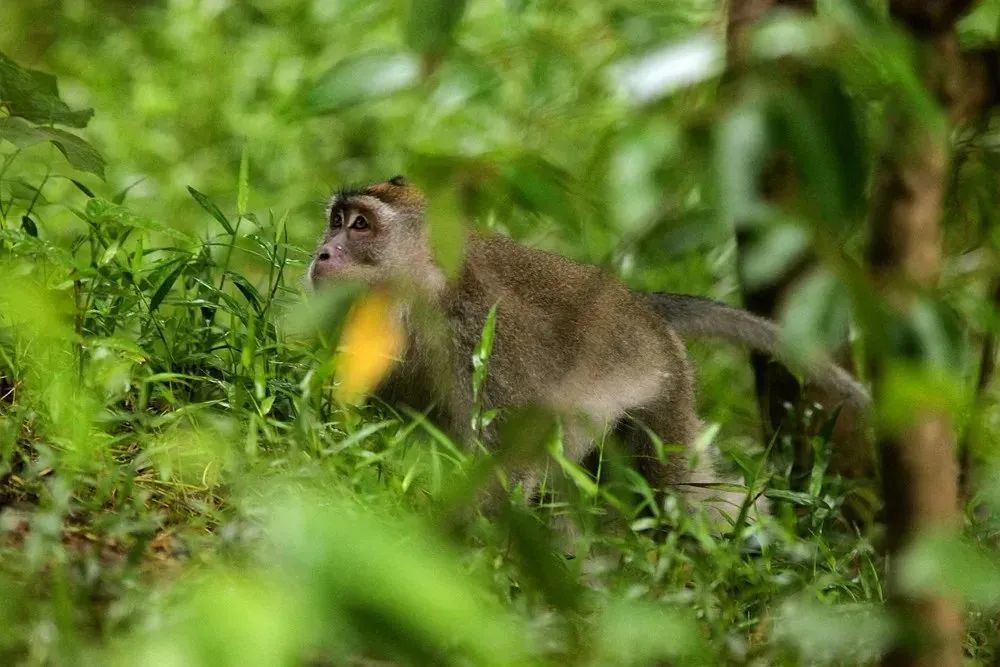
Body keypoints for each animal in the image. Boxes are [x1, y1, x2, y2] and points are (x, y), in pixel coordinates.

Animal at [310, 179, 868, 520]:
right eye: (336, 220)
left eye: (360, 225)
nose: (321, 253)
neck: (424, 293)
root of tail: (644, 308)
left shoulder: (485, 336)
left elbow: (508, 458)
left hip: (665, 391)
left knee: (673, 488)